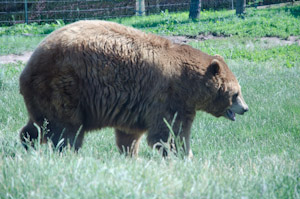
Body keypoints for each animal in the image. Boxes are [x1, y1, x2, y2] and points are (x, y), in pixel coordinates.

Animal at [19, 20, 248, 157]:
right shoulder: (169, 97)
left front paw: (131, 155)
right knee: (66, 128)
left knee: (38, 124)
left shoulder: (137, 103)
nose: (245, 108)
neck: (190, 84)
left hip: (42, 96)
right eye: (235, 93)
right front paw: (184, 155)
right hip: (64, 86)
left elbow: (130, 133)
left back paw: (26, 144)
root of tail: (29, 65)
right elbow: (170, 131)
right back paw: (68, 152)